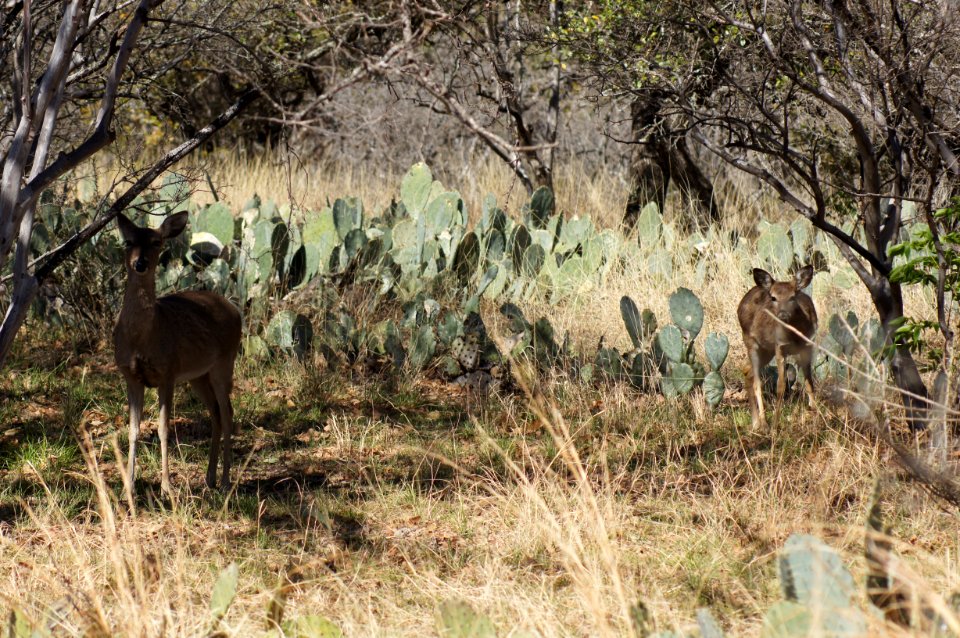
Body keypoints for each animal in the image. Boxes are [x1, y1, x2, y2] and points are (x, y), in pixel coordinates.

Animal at [113, 212, 244, 498]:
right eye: (128, 242)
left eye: (156, 241)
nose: (140, 263)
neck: (141, 338)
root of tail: (234, 309)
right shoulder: (131, 376)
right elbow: (133, 430)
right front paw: (129, 487)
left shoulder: (168, 373)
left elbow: (163, 429)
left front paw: (166, 487)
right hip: (198, 376)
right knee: (216, 414)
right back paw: (209, 478)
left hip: (224, 363)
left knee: (228, 413)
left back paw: (225, 481)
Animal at [736, 264, 816, 430]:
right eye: (773, 297)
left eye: (793, 296)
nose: (782, 315)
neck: (795, 336)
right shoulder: (780, 348)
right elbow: (781, 385)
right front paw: (775, 426)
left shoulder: (807, 346)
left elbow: (809, 382)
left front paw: (817, 413)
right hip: (750, 342)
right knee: (757, 382)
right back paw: (763, 423)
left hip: (766, 350)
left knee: (747, 370)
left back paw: (755, 422)